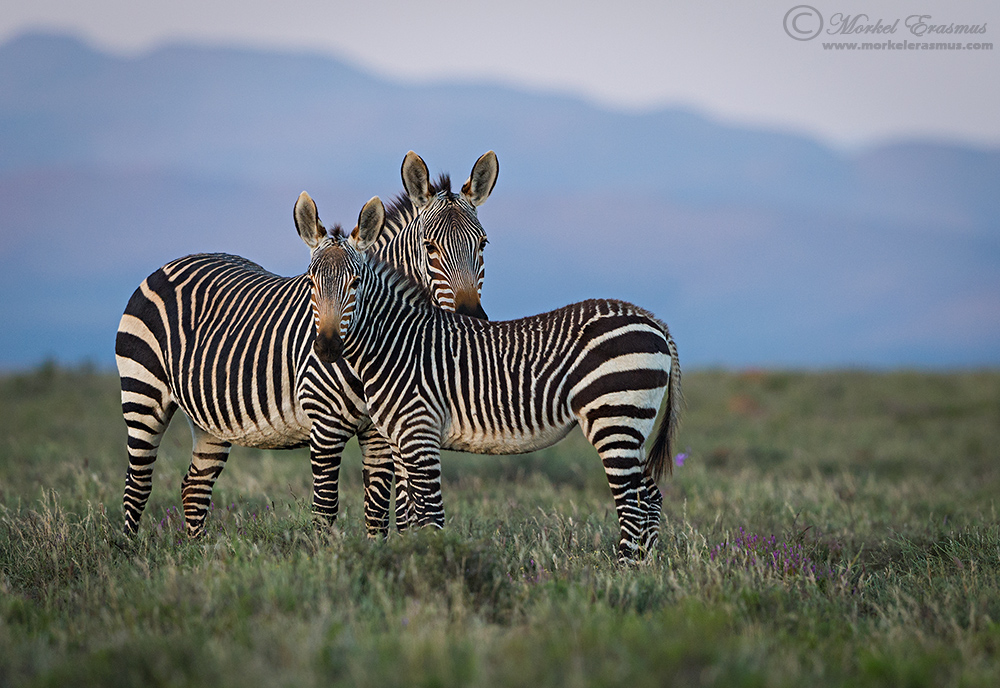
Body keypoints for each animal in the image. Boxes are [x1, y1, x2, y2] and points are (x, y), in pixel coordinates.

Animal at [115, 151, 499, 538]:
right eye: (429, 247)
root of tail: (176, 262)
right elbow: (328, 510)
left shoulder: (384, 429)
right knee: (138, 483)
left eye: (483, 244)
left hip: (208, 419)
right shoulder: (327, 425)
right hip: (143, 393)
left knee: (194, 486)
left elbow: (385, 510)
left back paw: (199, 550)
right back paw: (130, 549)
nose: (472, 318)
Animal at [296, 194, 682, 563]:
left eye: (356, 283)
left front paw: (437, 567)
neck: (396, 343)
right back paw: (645, 570)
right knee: (650, 497)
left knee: (632, 505)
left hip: (614, 417)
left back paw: (623, 572)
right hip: (631, 426)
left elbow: (431, 516)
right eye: (312, 282)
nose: (327, 347)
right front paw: (411, 562)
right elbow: (411, 516)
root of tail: (651, 319)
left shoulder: (421, 435)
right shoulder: (401, 440)